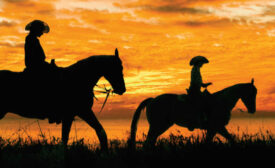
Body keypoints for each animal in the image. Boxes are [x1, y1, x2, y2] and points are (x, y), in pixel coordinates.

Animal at [130, 79, 258, 147]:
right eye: (251, 93)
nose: (252, 110)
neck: (222, 102)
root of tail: (152, 100)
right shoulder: (217, 127)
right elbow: (229, 139)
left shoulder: (214, 129)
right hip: (157, 126)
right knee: (148, 143)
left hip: (159, 127)